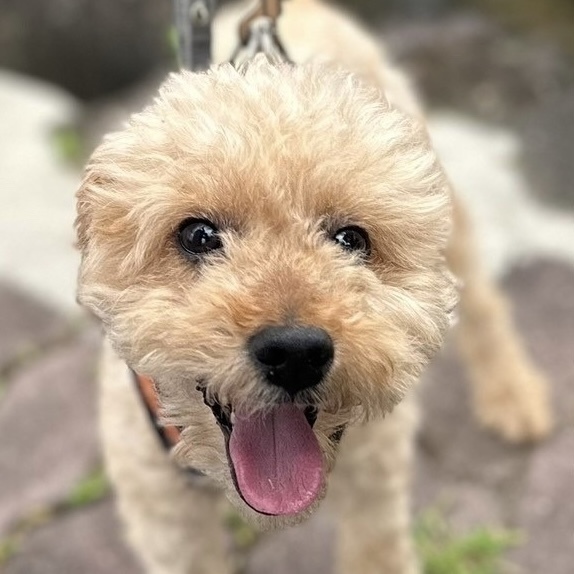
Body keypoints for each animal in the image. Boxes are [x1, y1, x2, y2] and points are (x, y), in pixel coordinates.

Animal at [75, 1, 553, 572]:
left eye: (351, 238)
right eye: (197, 235)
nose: (295, 352)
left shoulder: (377, 469)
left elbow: (377, 552)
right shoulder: (164, 514)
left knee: (483, 303)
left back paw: (513, 394)